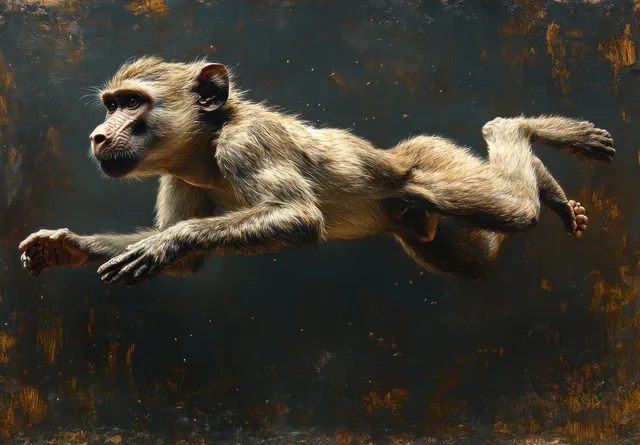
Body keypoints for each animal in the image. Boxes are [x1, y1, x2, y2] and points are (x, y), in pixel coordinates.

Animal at [17, 56, 615, 286]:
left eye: (132, 104)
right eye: (110, 105)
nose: (99, 136)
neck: (207, 144)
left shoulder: (248, 143)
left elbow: (300, 216)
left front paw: (168, 243)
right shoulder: (179, 173)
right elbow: (188, 265)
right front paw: (65, 246)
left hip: (429, 161)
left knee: (512, 206)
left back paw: (519, 135)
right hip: (417, 219)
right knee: (473, 254)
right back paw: (549, 186)